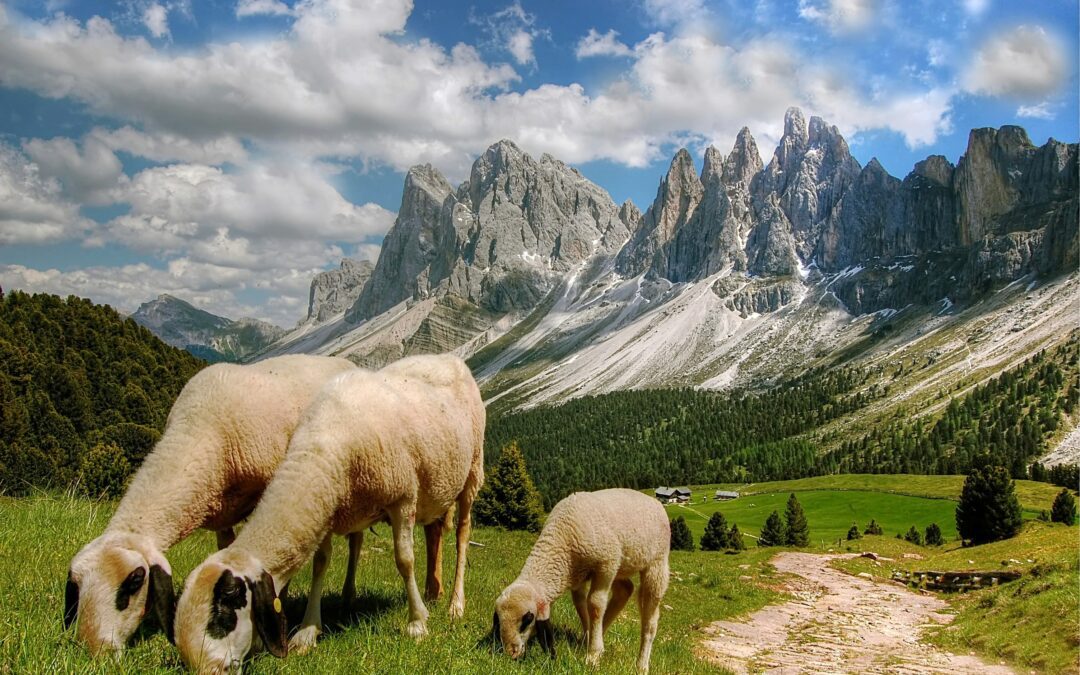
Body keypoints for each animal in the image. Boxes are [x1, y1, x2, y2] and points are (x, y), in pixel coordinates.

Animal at [64, 354, 356, 655]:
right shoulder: (222, 510)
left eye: (134, 581)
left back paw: (344, 598)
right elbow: (229, 549)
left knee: (349, 547)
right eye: (76, 584)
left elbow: (310, 559)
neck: (198, 429)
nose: (95, 649)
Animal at [173, 353, 485, 674]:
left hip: (473, 470)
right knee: (435, 531)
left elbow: (404, 560)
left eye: (225, 612)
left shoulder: (402, 497)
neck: (324, 446)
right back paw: (433, 594)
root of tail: (446, 357)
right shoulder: (327, 507)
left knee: (462, 535)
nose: (210, 669)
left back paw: (455, 604)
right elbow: (320, 563)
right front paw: (308, 631)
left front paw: (417, 623)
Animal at [493, 488, 670, 673]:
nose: (511, 653)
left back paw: (641, 665)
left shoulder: (606, 565)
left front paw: (593, 655)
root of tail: (654, 501)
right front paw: (588, 640)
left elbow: (595, 605)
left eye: (527, 621)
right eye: (498, 620)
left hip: (656, 564)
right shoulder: (578, 574)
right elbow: (580, 603)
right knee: (625, 589)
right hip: (622, 565)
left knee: (650, 621)